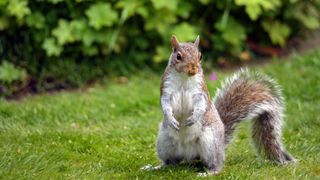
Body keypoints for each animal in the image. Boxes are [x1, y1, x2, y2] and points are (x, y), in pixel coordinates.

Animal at [155, 35, 296, 175]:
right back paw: (158, 167)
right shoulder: (166, 89)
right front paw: (170, 118)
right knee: (172, 162)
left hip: (210, 143)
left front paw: (195, 117)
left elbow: (201, 105)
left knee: (216, 164)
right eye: (178, 56)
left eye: (200, 56)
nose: (193, 68)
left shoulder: (200, 91)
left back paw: (209, 172)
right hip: (164, 142)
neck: (184, 78)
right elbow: (165, 104)